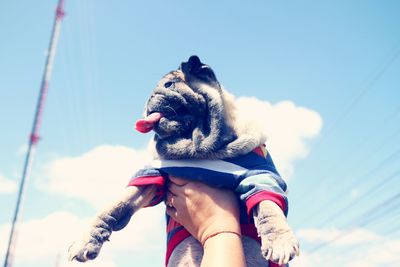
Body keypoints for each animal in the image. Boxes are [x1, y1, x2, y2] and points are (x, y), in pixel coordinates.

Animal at [69, 55, 298, 266]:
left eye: (169, 85)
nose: (149, 98)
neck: (199, 151)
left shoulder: (260, 175)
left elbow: (268, 207)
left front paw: (279, 240)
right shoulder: (153, 178)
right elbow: (116, 205)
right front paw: (86, 240)